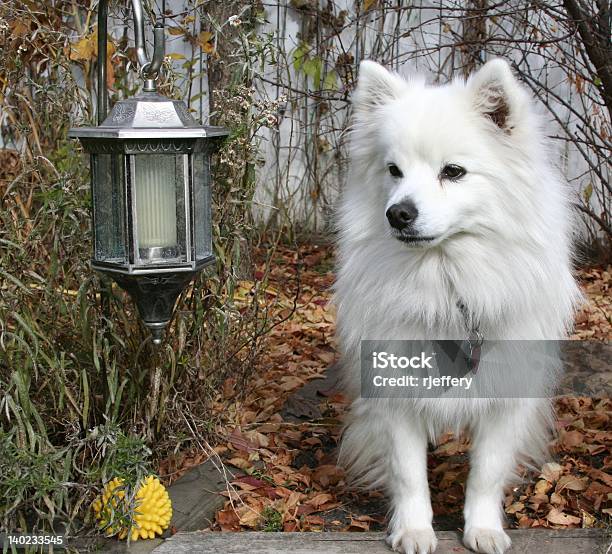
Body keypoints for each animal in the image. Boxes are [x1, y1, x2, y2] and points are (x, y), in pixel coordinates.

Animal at [338, 60, 580, 552]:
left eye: (453, 171)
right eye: (393, 170)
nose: (398, 214)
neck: (448, 282)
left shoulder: (506, 393)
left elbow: (486, 472)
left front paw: (482, 529)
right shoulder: (395, 394)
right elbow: (408, 472)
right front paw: (414, 530)